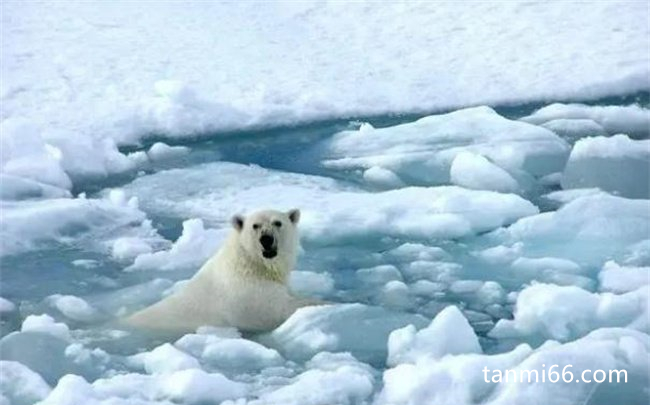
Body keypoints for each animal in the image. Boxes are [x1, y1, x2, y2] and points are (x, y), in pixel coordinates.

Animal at [124, 207, 318, 332]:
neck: (251, 264)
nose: (266, 239)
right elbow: (279, 309)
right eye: (254, 225)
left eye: (278, 223)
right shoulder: (248, 295)